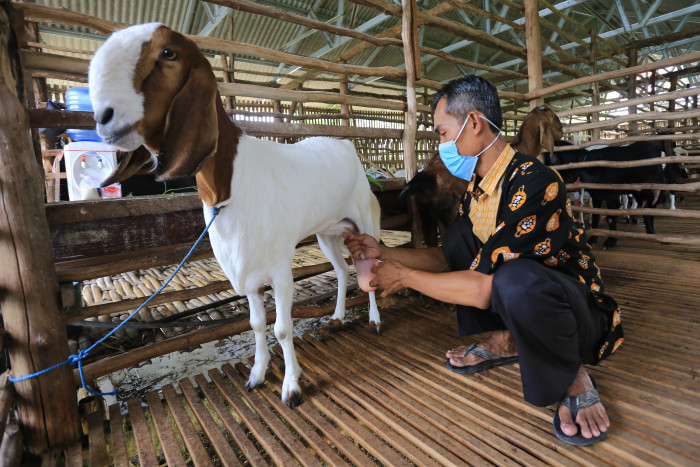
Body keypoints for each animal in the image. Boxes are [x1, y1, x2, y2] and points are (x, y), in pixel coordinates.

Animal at [89, 23, 382, 408]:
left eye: (168, 53)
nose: (103, 118)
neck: (226, 190)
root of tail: (347, 145)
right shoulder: (247, 272)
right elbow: (256, 325)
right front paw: (257, 374)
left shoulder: (280, 269)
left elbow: (282, 328)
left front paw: (292, 387)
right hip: (328, 232)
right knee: (343, 269)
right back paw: (336, 318)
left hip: (364, 220)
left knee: (370, 268)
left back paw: (375, 320)